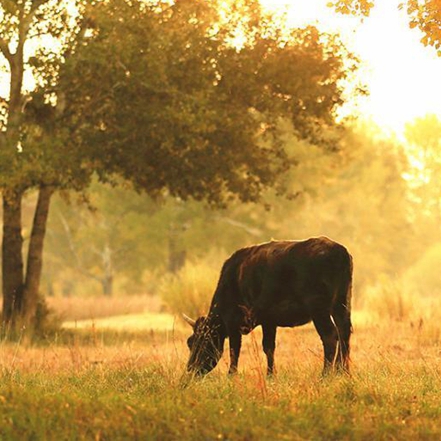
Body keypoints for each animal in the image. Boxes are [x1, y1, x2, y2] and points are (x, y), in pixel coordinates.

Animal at [184, 235, 352, 376]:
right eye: (189, 342)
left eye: (200, 342)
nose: (190, 369)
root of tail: (338, 251)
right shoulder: (268, 320)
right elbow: (269, 347)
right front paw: (270, 375)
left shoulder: (232, 322)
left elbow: (234, 350)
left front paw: (231, 376)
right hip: (342, 303)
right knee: (344, 332)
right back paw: (342, 371)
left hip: (319, 309)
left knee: (330, 335)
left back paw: (325, 374)